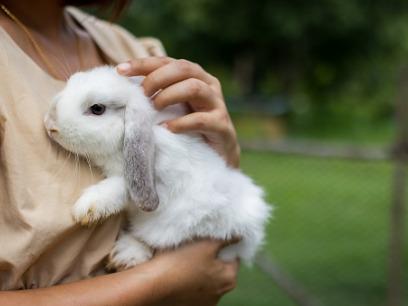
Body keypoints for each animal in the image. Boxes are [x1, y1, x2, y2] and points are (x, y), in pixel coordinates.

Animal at [43, 65, 270, 268]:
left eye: (97, 109)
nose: (50, 124)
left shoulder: (160, 179)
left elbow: (123, 186)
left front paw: (88, 208)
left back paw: (126, 254)